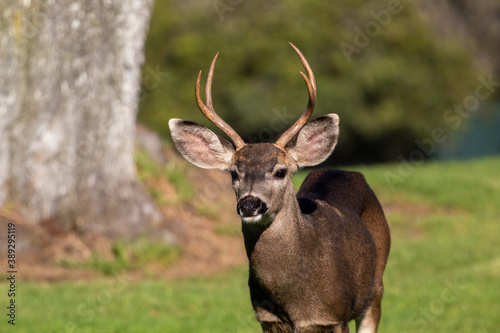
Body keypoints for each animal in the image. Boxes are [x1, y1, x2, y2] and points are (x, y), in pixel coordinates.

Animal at [170, 42, 392, 330]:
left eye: (280, 171)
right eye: (233, 173)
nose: (249, 204)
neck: (294, 298)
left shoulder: (334, 316)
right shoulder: (267, 319)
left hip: (375, 289)